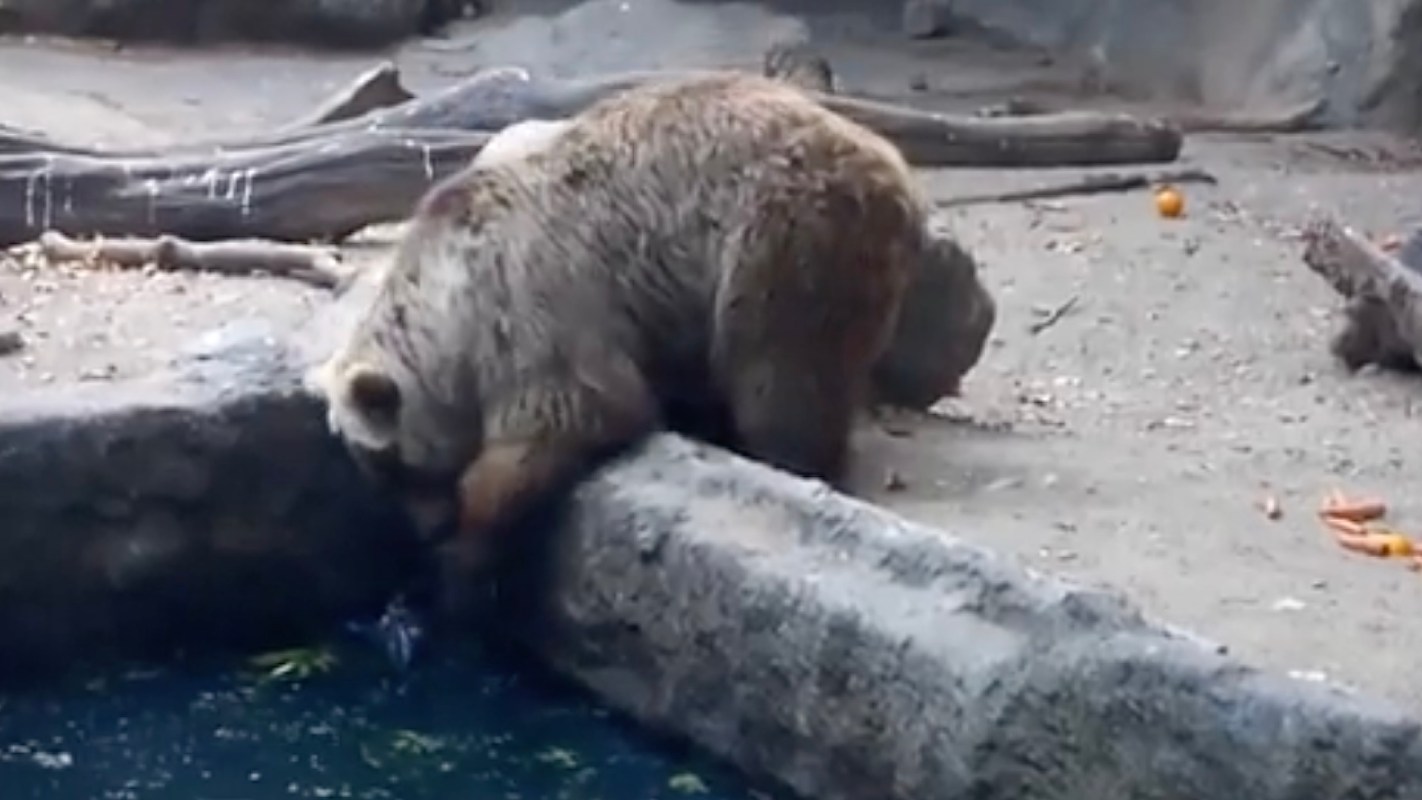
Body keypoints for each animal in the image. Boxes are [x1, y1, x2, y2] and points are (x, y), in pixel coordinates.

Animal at [309, 72, 931, 577]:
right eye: (378, 474)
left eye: (395, 467)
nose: (422, 531)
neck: (450, 308)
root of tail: (892, 166)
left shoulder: (532, 306)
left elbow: (574, 412)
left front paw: (467, 540)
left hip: (779, 239)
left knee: (781, 375)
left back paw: (786, 459)